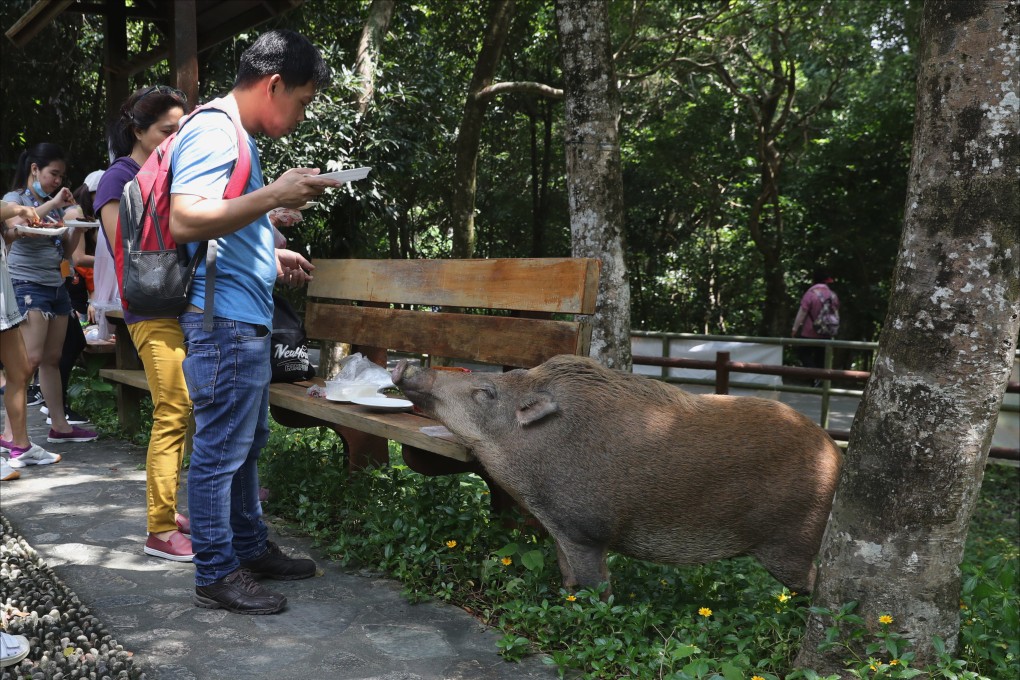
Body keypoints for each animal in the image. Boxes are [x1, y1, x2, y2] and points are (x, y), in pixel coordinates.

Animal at [392, 354, 842, 596]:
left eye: (485, 392)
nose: (404, 365)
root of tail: (836, 454)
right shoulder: (560, 530)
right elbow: (567, 579)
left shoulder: (586, 530)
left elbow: (596, 588)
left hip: (791, 544)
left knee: (816, 583)